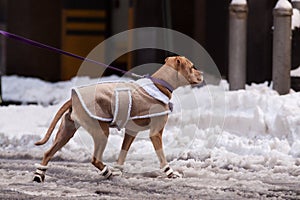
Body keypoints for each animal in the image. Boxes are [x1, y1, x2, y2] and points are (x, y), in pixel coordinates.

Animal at [32, 55, 204, 182]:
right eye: (192, 67)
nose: (202, 74)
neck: (160, 84)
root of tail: (72, 98)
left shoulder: (131, 132)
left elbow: (122, 154)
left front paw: (118, 170)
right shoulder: (156, 133)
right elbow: (162, 157)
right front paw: (171, 173)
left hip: (66, 132)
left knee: (47, 153)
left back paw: (39, 175)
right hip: (101, 132)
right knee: (95, 159)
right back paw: (107, 173)